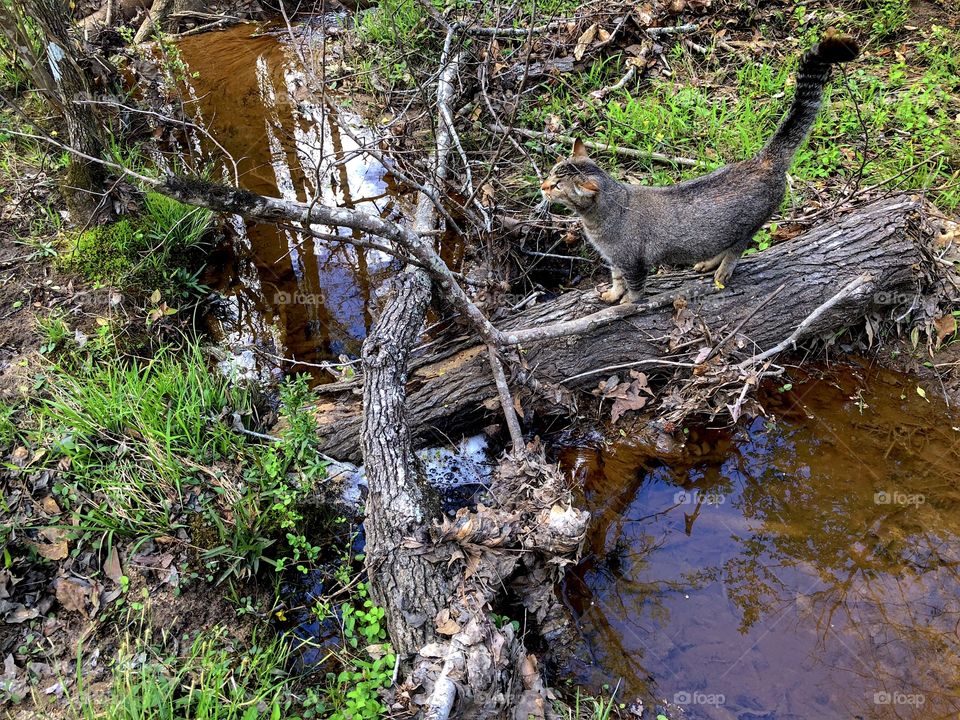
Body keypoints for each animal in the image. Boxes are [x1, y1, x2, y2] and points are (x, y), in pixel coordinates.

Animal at [540, 33, 864, 304]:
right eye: (551, 173)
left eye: (557, 186)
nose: (542, 187)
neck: (596, 220)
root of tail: (761, 159)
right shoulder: (616, 261)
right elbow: (616, 281)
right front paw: (611, 295)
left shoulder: (633, 262)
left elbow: (634, 290)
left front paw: (626, 304)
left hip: (750, 224)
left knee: (737, 247)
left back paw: (721, 269)